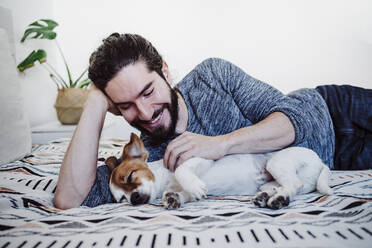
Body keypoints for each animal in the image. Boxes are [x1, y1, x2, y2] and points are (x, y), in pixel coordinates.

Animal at [106, 134, 332, 209]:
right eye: (122, 199)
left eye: (130, 176)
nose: (134, 198)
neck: (164, 182)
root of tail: (321, 162)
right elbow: (183, 194)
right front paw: (173, 198)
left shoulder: (201, 159)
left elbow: (180, 170)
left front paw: (191, 186)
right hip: (271, 179)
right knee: (282, 186)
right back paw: (266, 197)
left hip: (276, 163)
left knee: (293, 184)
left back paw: (279, 199)